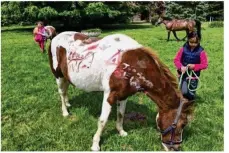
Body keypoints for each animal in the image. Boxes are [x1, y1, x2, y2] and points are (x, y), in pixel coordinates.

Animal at [47, 31, 193, 151]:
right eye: (182, 124)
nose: (175, 148)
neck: (130, 64)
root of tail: (55, 37)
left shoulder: (124, 95)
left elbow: (121, 114)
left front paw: (121, 132)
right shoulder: (109, 95)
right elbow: (103, 121)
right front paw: (95, 144)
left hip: (65, 76)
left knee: (66, 89)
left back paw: (68, 103)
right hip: (58, 75)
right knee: (61, 92)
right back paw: (65, 111)